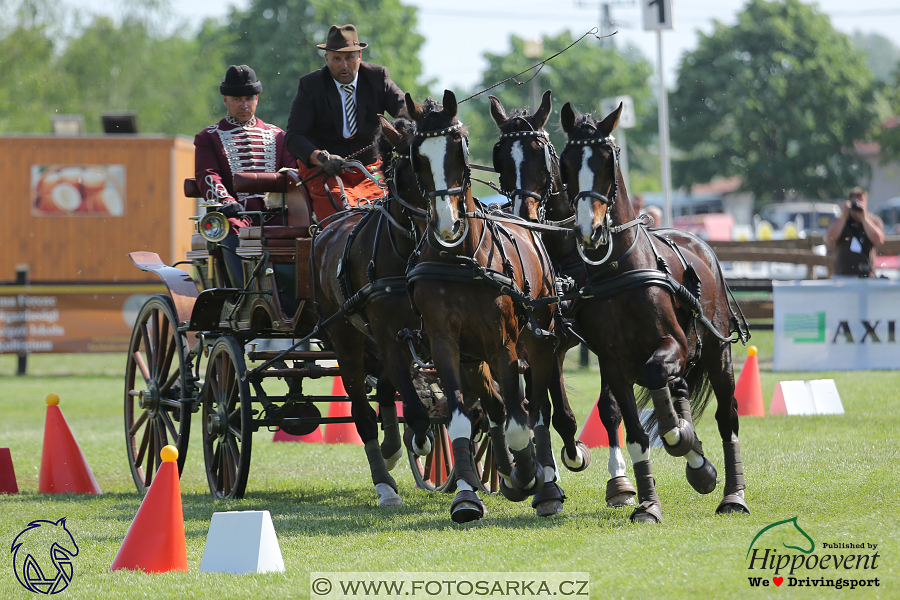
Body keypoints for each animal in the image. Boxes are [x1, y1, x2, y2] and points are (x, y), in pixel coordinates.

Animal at [404, 91, 588, 524]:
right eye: (417, 156)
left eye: (460, 150)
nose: (448, 224)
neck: (463, 259)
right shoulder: (446, 343)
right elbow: (460, 416)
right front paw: (468, 495)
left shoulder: (508, 343)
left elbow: (527, 418)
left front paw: (533, 476)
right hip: (475, 358)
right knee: (493, 408)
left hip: (535, 341)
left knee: (530, 409)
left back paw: (542, 480)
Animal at [488, 91, 636, 508]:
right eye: (500, 158)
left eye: (542, 156)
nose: (522, 215)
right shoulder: (542, 340)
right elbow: (546, 412)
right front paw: (551, 478)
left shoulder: (596, 339)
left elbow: (609, 408)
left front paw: (618, 481)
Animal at [556, 101, 752, 524]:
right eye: (566, 163)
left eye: (607, 160)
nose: (590, 231)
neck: (620, 271)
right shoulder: (613, 364)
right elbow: (635, 432)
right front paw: (648, 503)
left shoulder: (672, 344)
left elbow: (657, 380)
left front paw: (683, 443)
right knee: (677, 393)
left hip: (717, 352)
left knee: (726, 418)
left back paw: (733, 495)